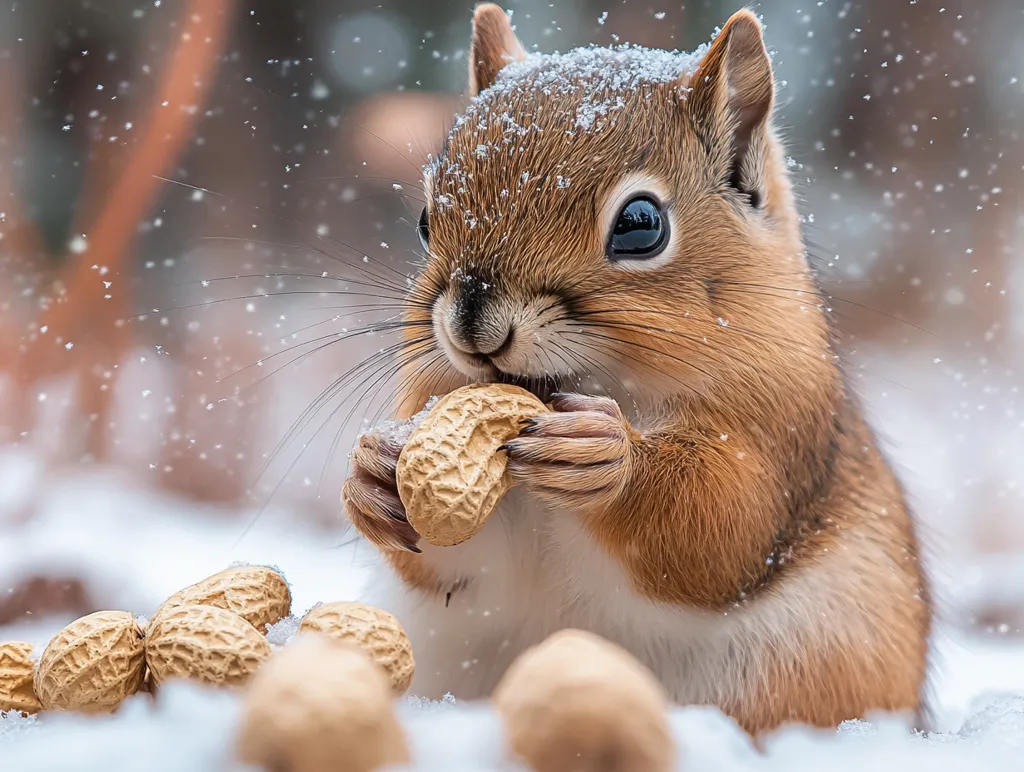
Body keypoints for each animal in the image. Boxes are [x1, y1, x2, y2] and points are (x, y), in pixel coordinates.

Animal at [343, 3, 932, 736]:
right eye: (425, 220)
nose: (473, 323)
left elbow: (722, 530)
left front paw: (609, 457)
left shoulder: (782, 428)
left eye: (641, 224)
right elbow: (452, 561)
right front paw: (373, 474)